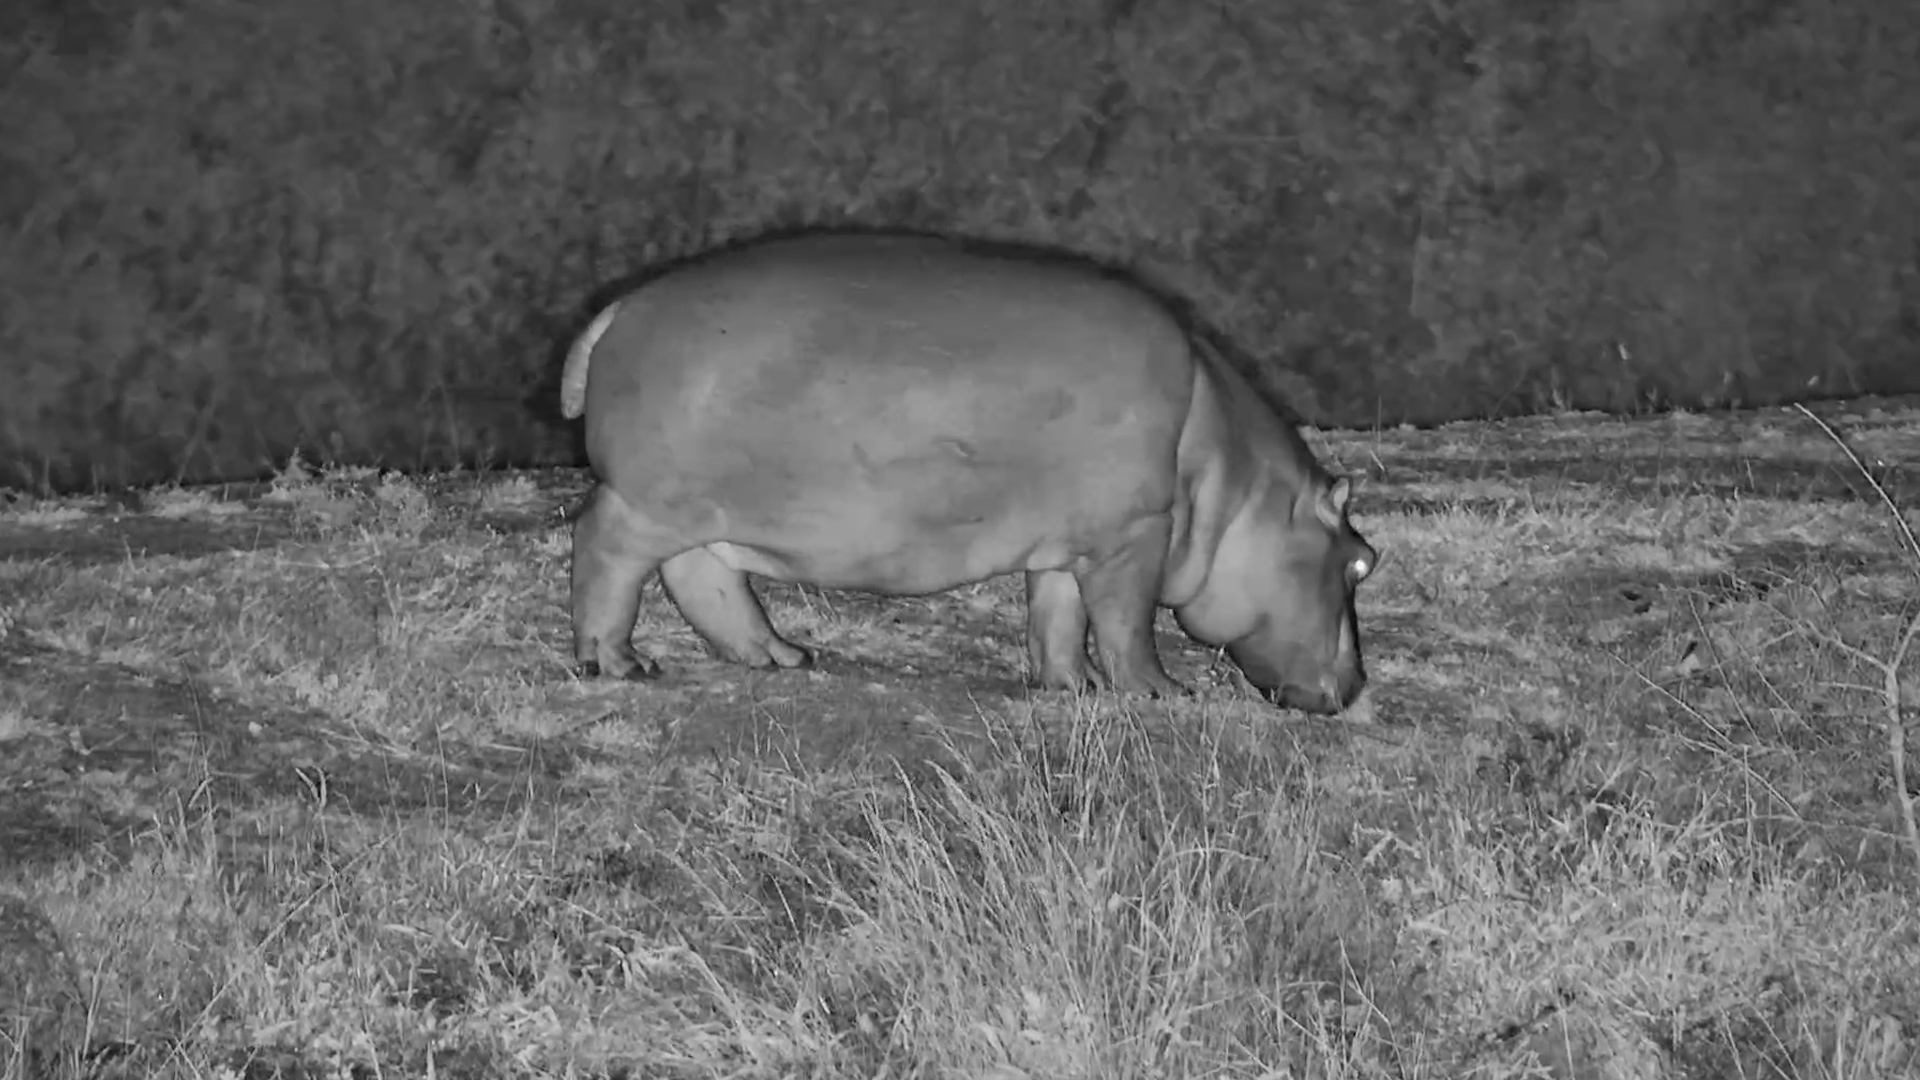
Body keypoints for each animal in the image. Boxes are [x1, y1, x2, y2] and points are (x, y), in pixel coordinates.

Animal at [558, 233, 1376, 713]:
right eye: (1362, 562)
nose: (1357, 687)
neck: (1232, 484)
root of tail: (619, 308)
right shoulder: (1135, 537)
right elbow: (1127, 623)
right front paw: (1159, 693)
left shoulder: (1066, 548)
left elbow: (1059, 617)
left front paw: (1070, 688)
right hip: (646, 504)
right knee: (604, 550)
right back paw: (621, 665)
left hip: (702, 511)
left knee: (706, 580)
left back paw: (784, 656)